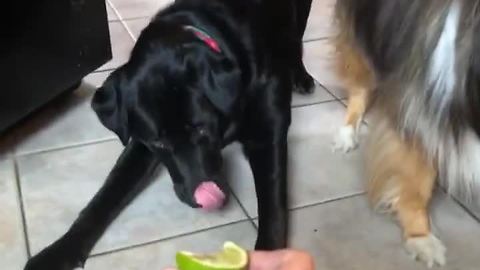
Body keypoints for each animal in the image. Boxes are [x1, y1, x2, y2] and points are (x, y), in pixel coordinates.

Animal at [24, 0, 314, 268]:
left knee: (297, 40)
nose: (200, 199)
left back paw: (301, 76)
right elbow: (104, 196)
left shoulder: (268, 135)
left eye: (202, 127)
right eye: (158, 141)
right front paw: (58, 251)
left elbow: (273, 210)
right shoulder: (140, 144)